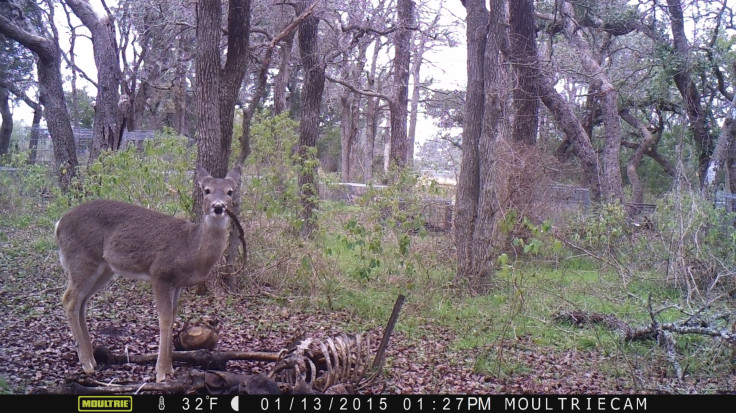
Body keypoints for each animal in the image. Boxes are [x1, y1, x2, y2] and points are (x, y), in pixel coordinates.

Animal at [58, 166, 242, 382]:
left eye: (230, 191)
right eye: (207, 190)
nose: (218, 207)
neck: (190, 247)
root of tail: (59, 224)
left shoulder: (177, 283)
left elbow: (173, 315)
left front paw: (170, 368)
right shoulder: (160, 273)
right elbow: (165, 318)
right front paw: (161, 373)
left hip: (104, 269)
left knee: (82, 302)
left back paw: (92, 359)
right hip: (82, 259)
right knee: (69, 299)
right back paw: (86, 363)